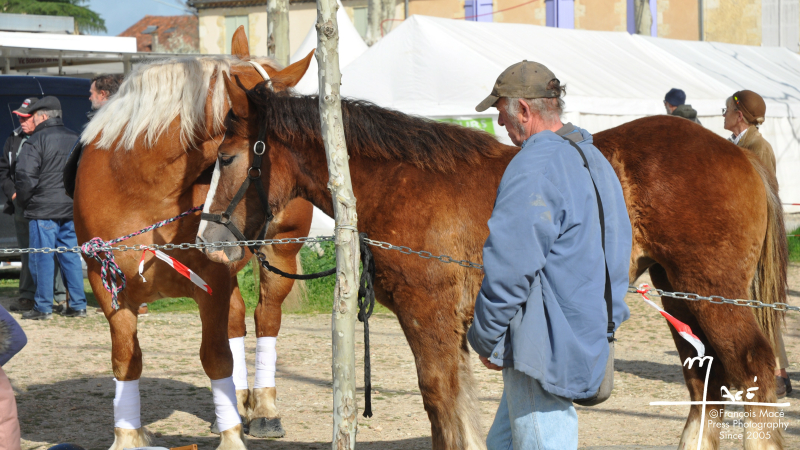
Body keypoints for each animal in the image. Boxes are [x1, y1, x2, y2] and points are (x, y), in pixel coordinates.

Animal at [74, 30, 315, 450]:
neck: (141, 188)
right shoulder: (106, 285)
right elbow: (125, 359)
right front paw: (128, 435)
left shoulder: (211, 282)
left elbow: (216, 358)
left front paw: (232, 437)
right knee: (236, 320)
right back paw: (236, 399)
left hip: (281, 253)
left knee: (266, 318)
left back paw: (263, 408)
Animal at [199, 78, 787, 450]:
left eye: (226, 158)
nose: (209, 243)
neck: (403, 182)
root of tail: (739, 154)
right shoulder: (453, 327)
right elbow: (459, 406)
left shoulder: (428, 317)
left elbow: (440, 401)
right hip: (680, 295)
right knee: (707, 378)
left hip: (711, 292)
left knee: (754, 367)